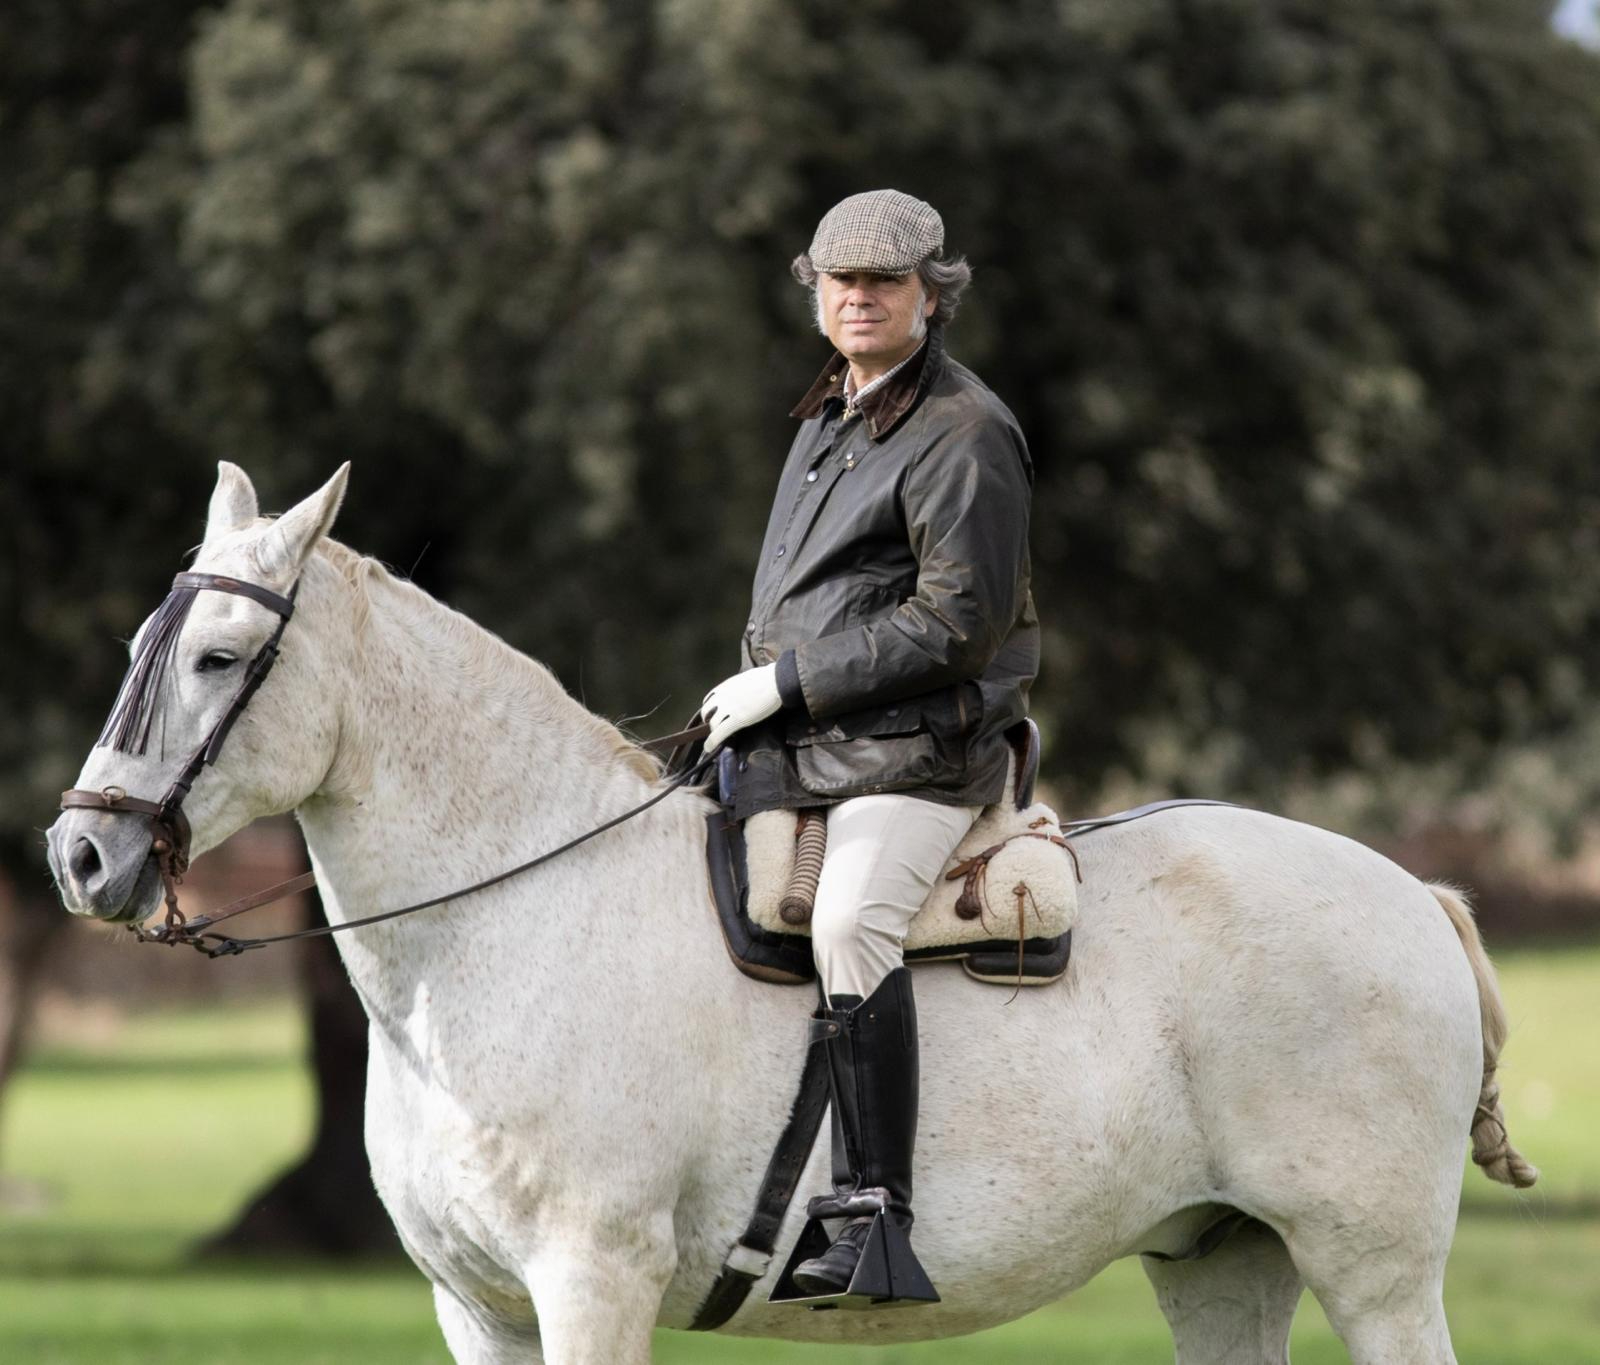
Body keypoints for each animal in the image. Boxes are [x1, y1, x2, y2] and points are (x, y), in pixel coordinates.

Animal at [47, 463, 1536, 1364]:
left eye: (219, 658)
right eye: (136, 647)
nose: (80, 855)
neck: (511, 919)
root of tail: (1413, 893)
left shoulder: (590, 1282)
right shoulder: (477, 1309)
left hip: (1373, 1270)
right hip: (1222, 1262)